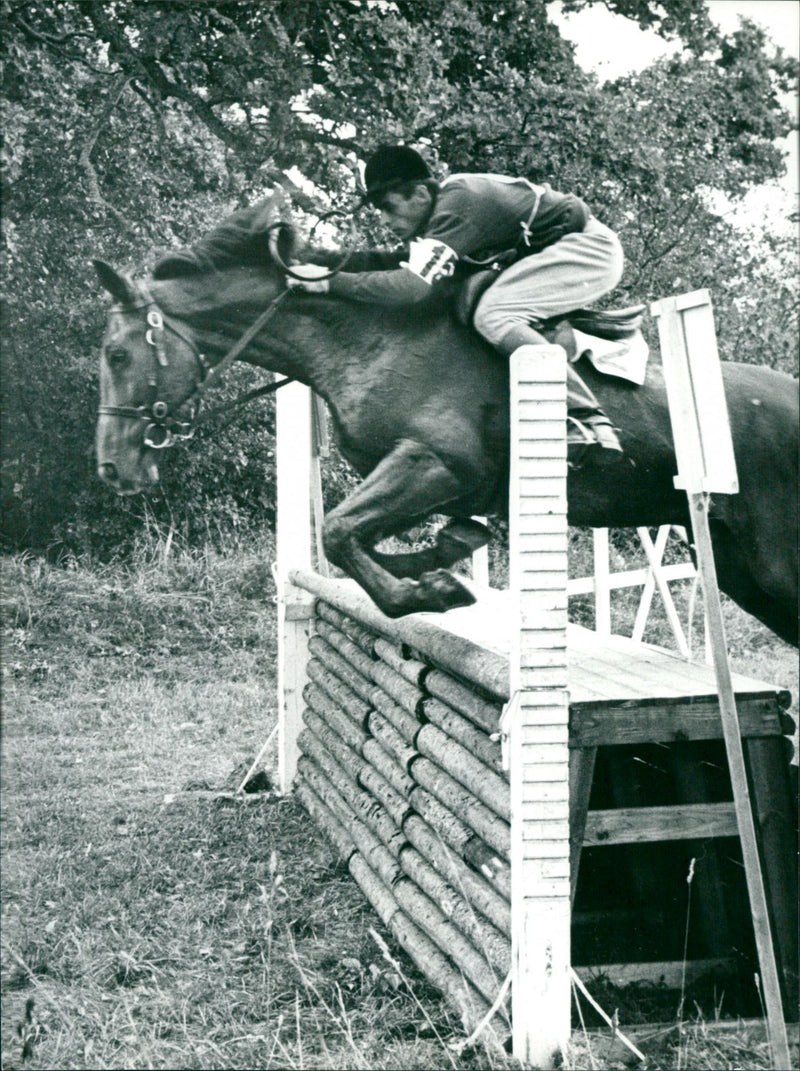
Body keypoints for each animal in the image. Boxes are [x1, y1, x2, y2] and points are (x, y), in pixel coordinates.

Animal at [92, 194, 796, 642]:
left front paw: (432, 592)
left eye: (116, 354)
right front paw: (443, 559)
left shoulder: (434, 464)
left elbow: (341, 533)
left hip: (772, 563)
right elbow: (371, 535)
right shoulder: (424, 480)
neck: (367, 338)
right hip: (739, 567)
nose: (111, 470)